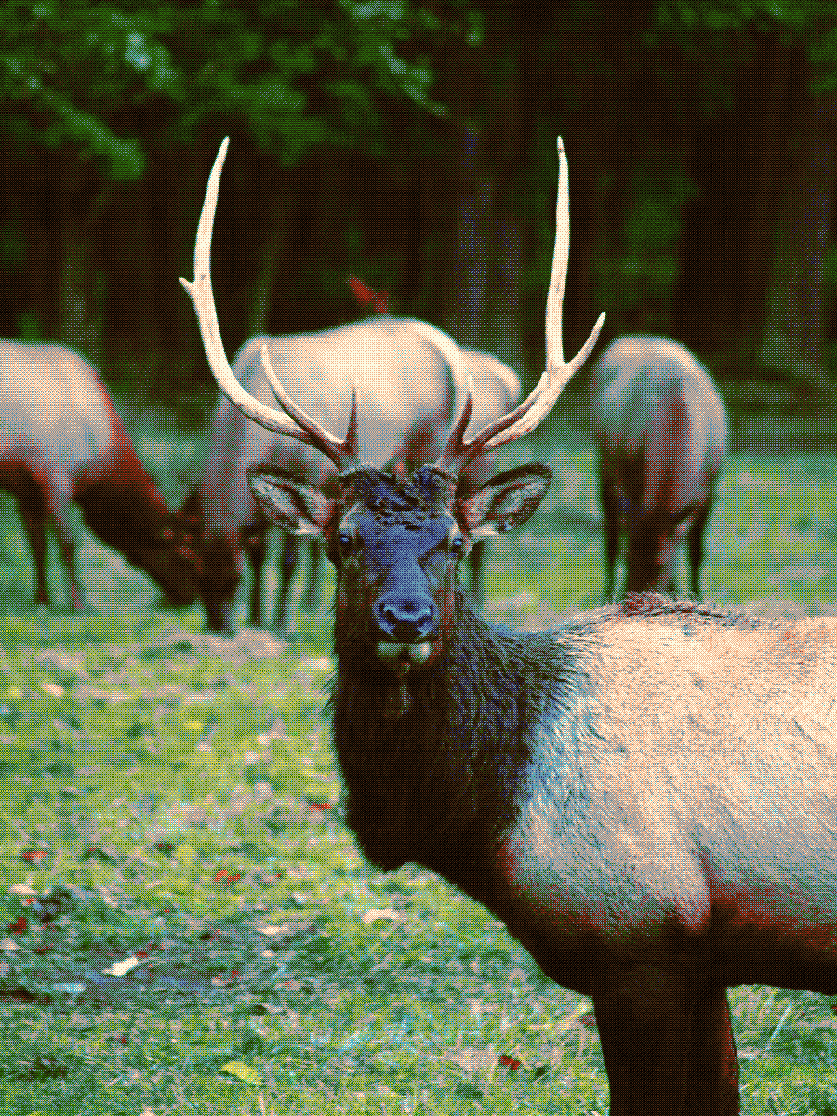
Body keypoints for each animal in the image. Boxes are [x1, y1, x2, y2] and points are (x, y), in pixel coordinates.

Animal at [0, 341, 197, 610]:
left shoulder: (28, 488)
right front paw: (78, 602)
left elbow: (38, 547)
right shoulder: (56, 477)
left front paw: (42, 599)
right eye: (186, 553)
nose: (191, 597)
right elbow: (68, 545)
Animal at [591, 336, 727, 600]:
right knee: (610, 535)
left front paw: (694, 595)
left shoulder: (709, 489)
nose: (631, 600)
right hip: (604, 464)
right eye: (629, 558)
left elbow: (696, 549)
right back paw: (606, 593)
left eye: (661, 564)